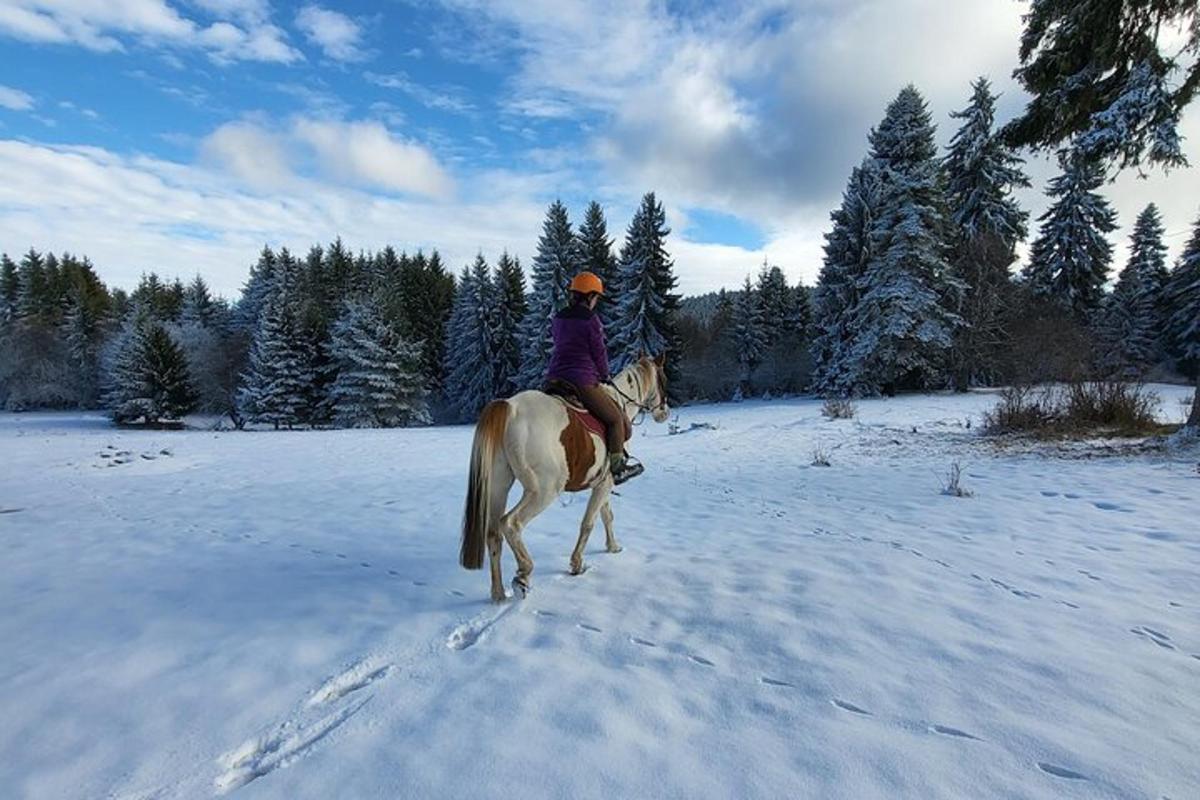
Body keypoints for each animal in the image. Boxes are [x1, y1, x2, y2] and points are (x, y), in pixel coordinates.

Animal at [458, 352, 672, 604]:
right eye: (663, 379)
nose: (664, 413)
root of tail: (510, 407)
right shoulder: (606, 483)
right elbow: (589, 522)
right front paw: (577, 564)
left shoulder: (602, 482)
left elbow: (606, 516)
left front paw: (613, 547)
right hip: (544, 490)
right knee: (511, 524)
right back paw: (523, 574)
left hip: (498, 487)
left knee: (493, 534)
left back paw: (499, 594)